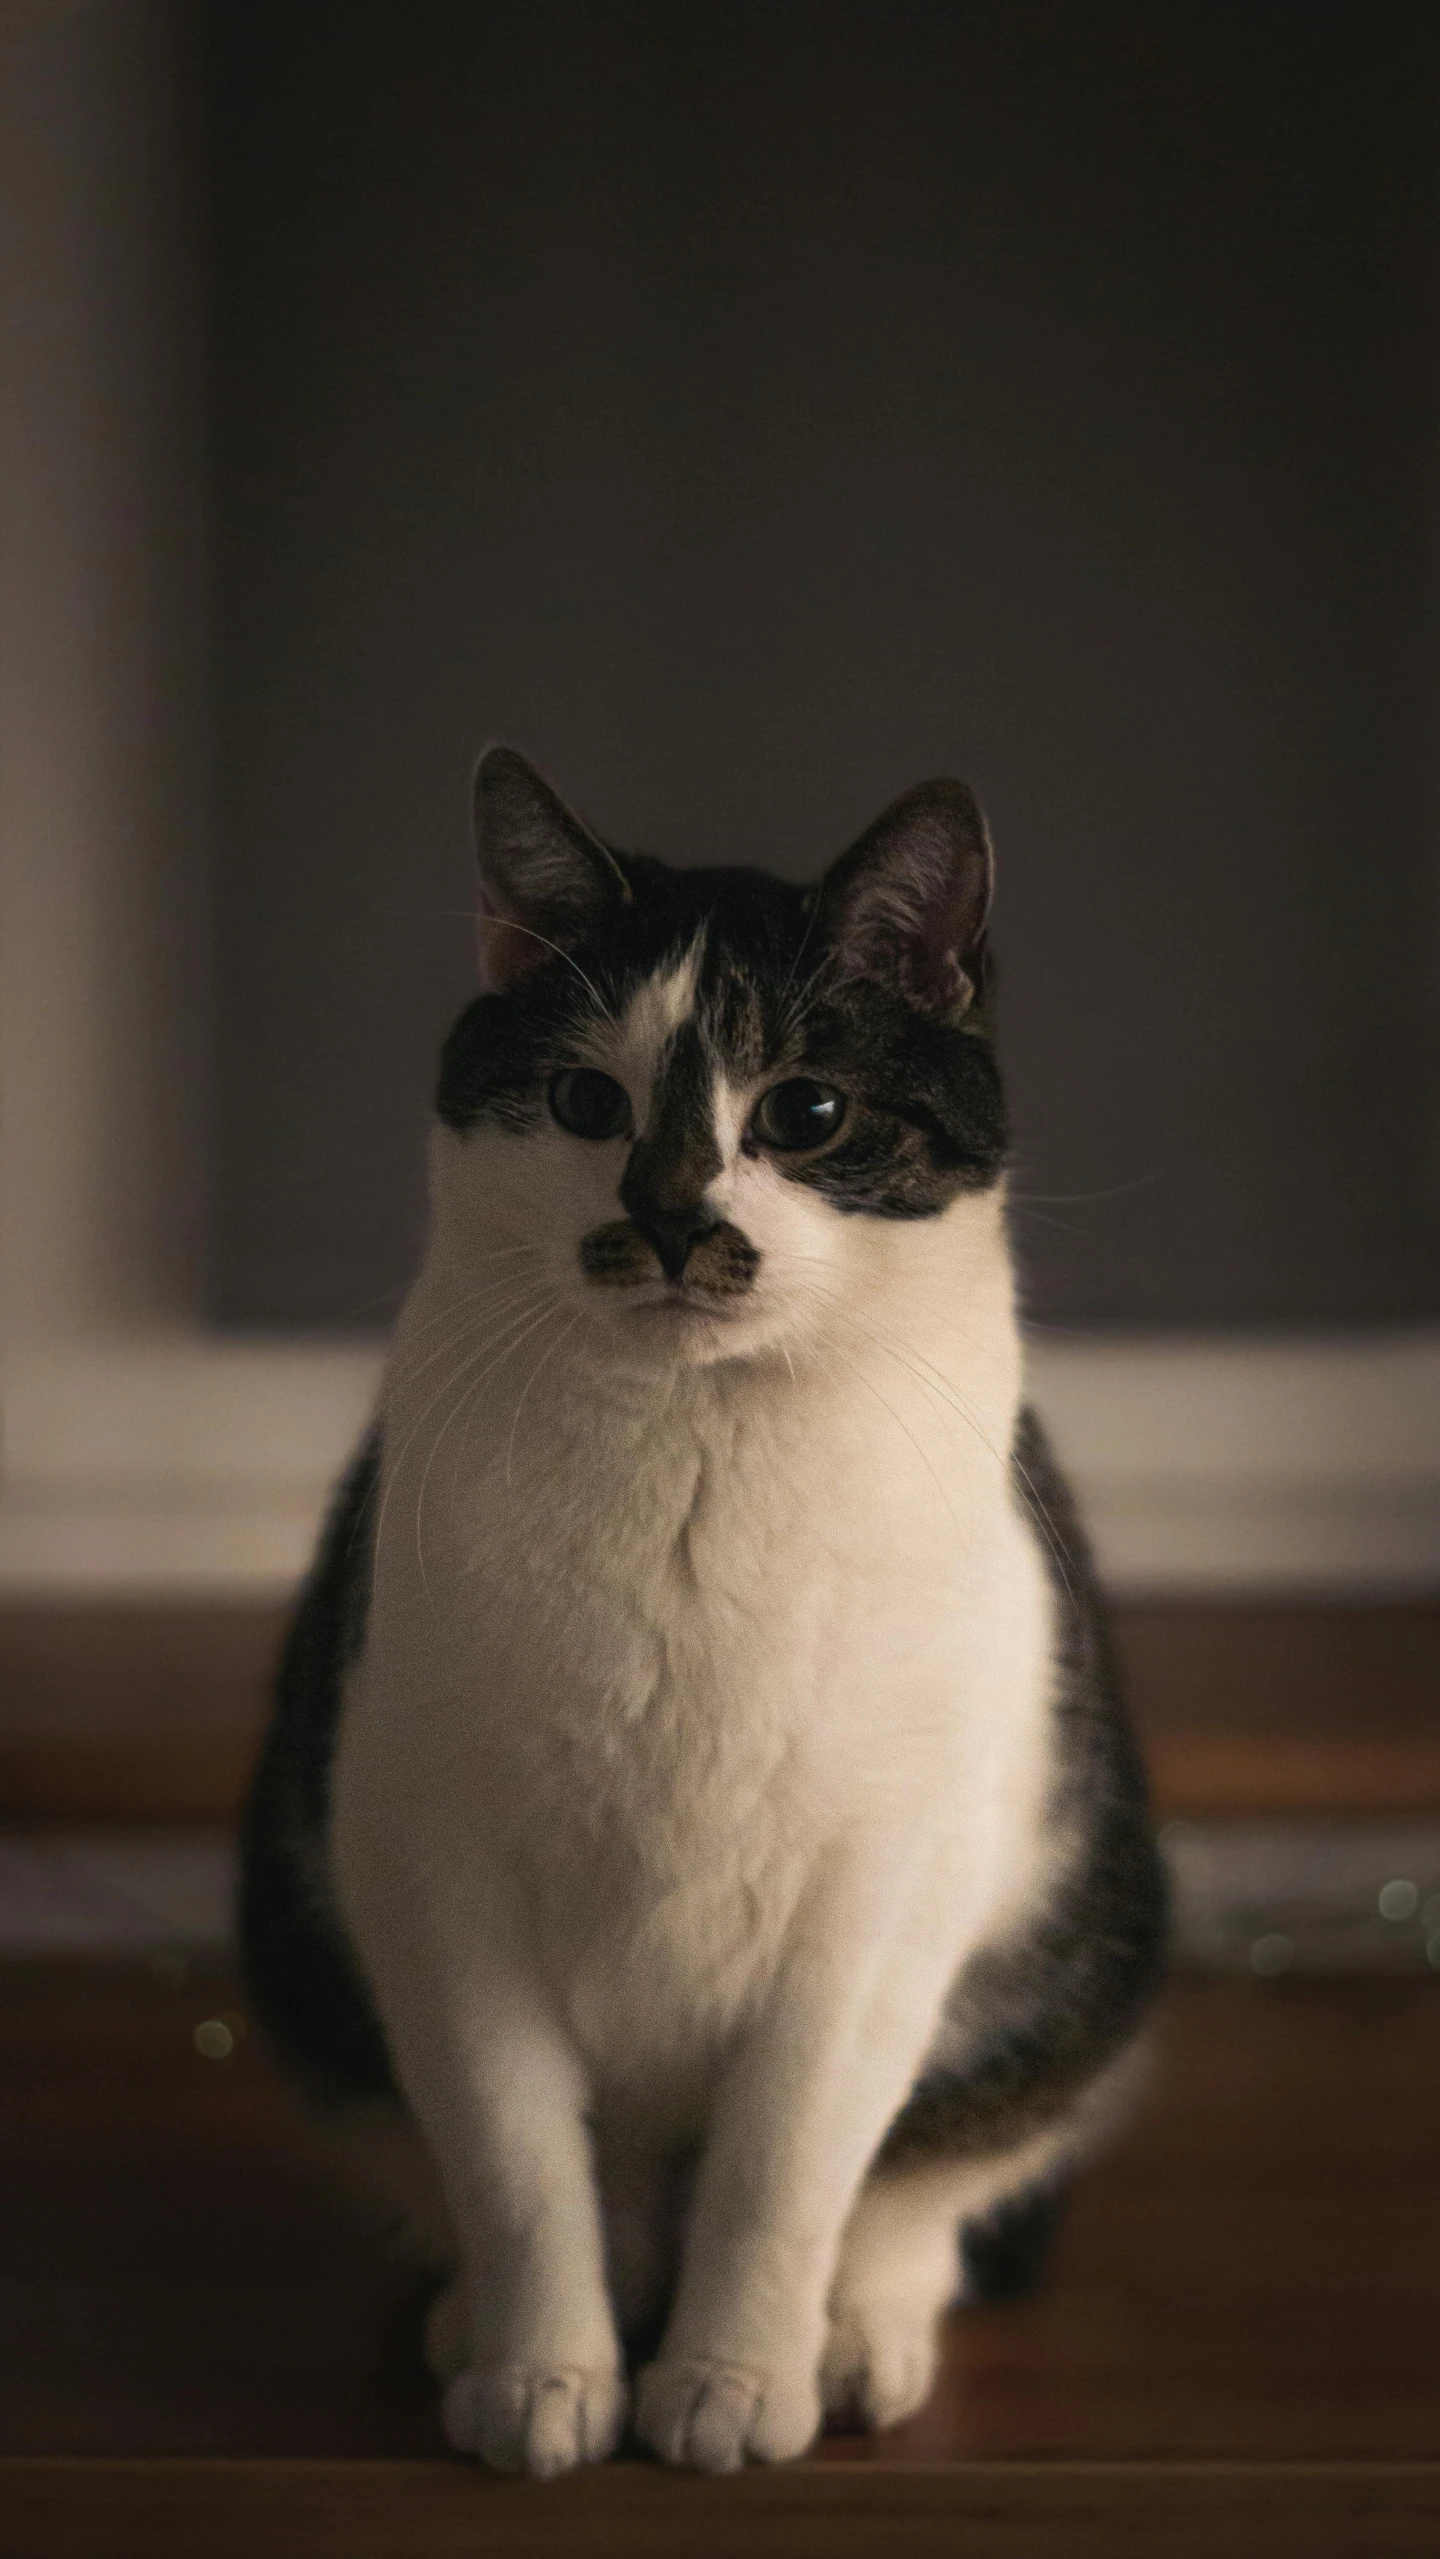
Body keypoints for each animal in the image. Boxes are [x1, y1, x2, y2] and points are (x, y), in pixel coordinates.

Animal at [239, 747, 1171, 2466]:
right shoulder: (430, 1869)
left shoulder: (880, 1893)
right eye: (582, 1102)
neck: (696, 1459)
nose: (673, 1216)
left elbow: (784, 2169)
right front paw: (547, 2376)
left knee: (920, 2193)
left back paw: (854, 2339)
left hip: (1071, 1961)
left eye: (804, 1110)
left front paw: (733, 2382)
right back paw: (490, 2317)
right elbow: (517, 2165)